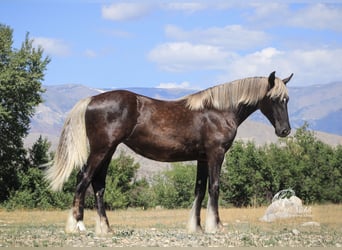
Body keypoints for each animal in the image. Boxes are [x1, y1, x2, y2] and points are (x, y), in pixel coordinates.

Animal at [44, 71, 292, 234]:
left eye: (287, 99)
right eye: (274, 99)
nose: (285, 130)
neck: (218, 110)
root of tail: (91, 99)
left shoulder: (202, 158)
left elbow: (199, 190)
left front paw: (197, 227)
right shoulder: (216, 154)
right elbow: (214, 187)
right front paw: (216, 225)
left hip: (108, 151)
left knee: (98, 184)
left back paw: (106, 228)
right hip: (101, 149)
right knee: (83, 179)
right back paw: (77, 225)